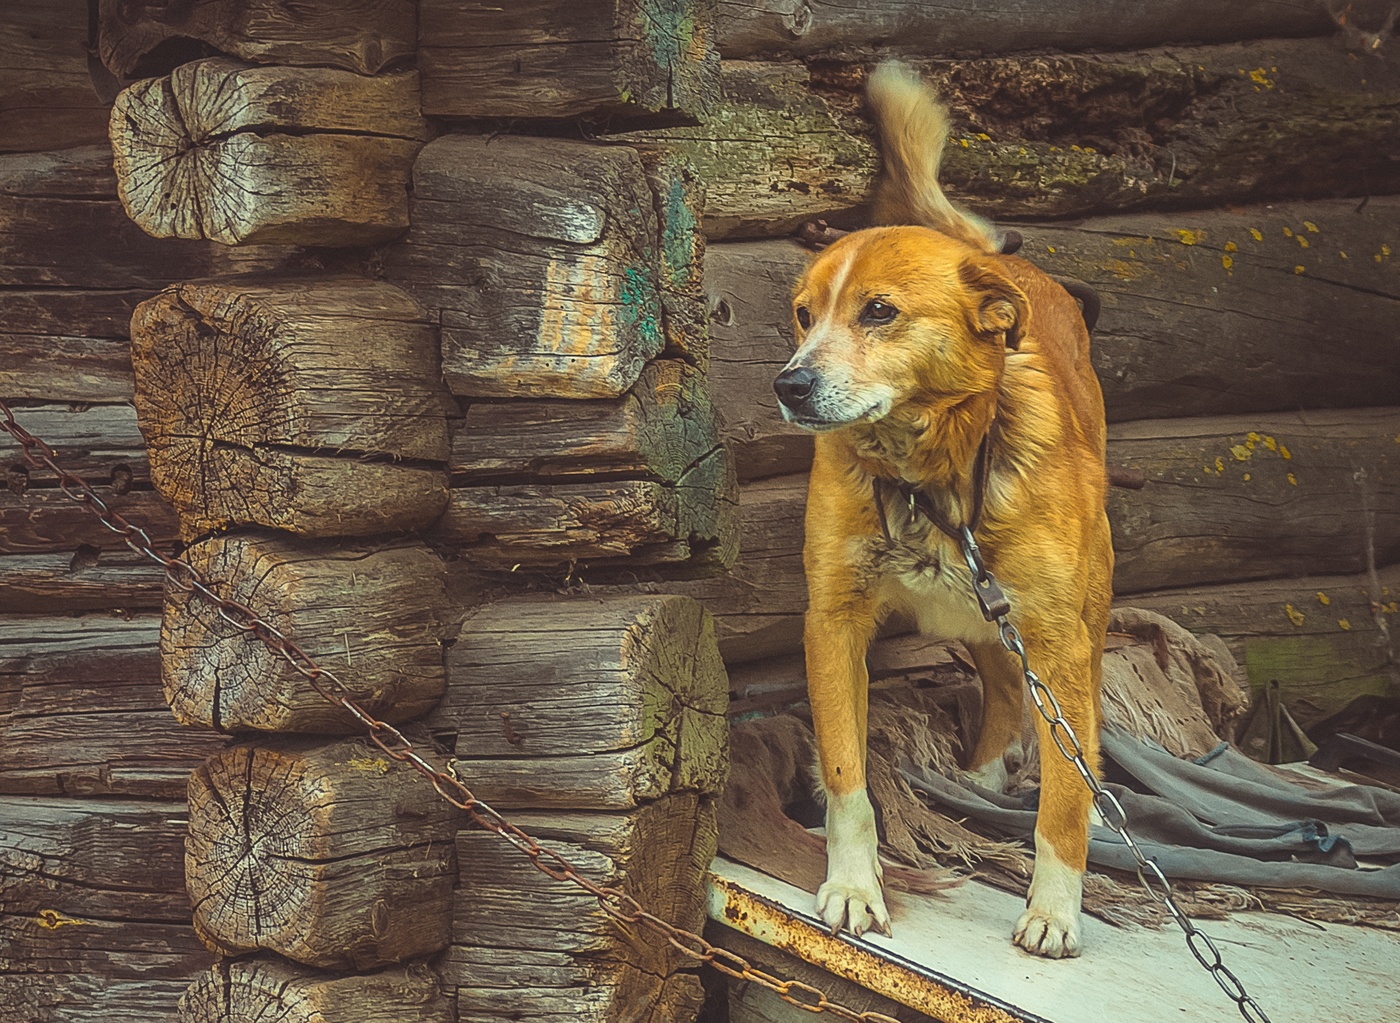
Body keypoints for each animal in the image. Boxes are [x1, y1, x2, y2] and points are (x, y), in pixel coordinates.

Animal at [772, 66, 1108, 962]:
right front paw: (855, 889)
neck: (928, 478)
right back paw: (980, 776)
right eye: (804, 314)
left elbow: (1064, 798)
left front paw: (1054, 908)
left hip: (1068, 609)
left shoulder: (1059, 638)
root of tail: (997, 264)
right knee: (998, 677)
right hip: (981, 612)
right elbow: (847, 775)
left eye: (879, 311)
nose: (789, 384)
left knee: (1050, 716)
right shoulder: (833, 620)